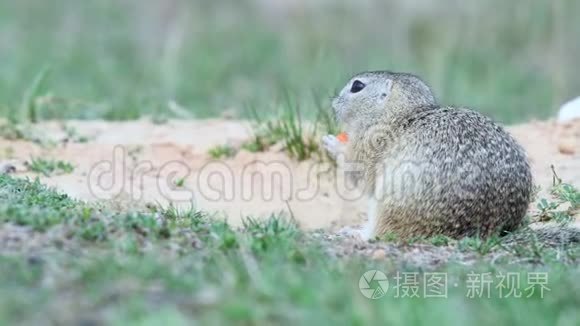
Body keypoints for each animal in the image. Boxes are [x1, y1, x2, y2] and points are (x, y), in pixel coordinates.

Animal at [324, 70, 532, 239]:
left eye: (357, 86)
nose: (333, 103)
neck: (397, 115)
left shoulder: (368, 145)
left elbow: (358, 169)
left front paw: (331, 142)